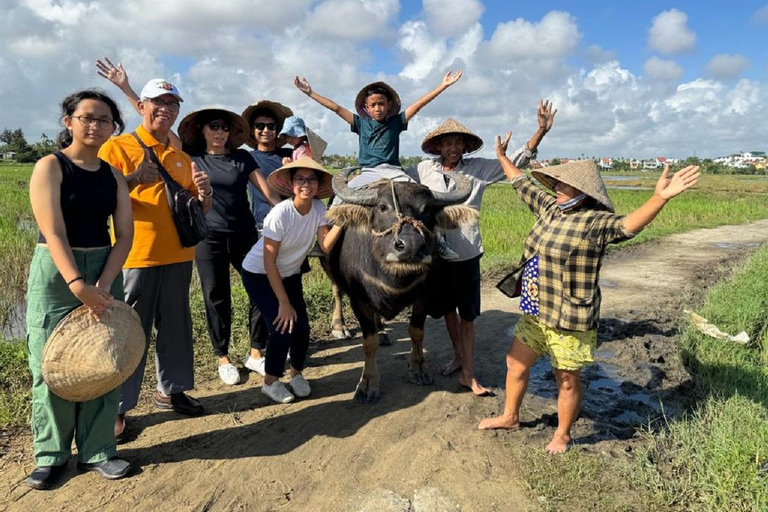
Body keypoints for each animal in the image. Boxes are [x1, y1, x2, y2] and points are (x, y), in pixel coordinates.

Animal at [328, 170, 476, 402]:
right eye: (382, 207)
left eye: (427, 209)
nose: (412, 247)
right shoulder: (358, 300)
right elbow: (368, 342)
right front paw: (368, 383)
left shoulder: (425, 295)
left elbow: (416, 332)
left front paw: (418, 369)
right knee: (336, 291)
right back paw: (339, 327)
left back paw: (382, 332)